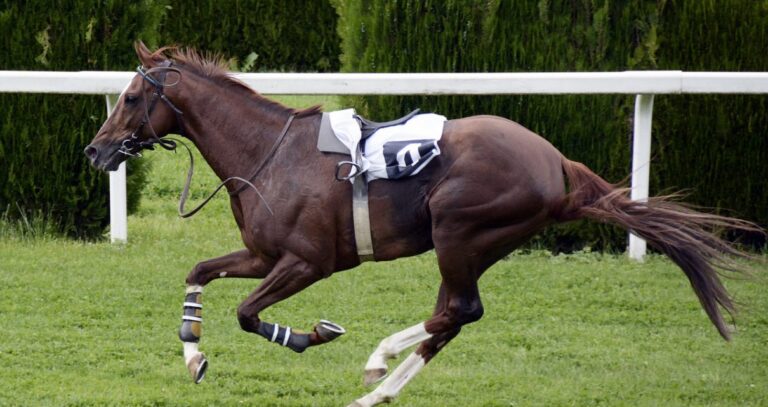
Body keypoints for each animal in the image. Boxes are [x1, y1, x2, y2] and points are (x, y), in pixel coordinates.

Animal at [85, 42, 760, 407]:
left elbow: (249, 314)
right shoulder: (262, 254)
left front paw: (312, 334)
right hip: (467, 243)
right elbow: (199, 272)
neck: (267, 154)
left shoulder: (307, 262)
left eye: (130, 99)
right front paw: (193, 357)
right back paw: (378, 387)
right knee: (452, 317)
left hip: (459, 231)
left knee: (457, 310)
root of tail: (556, 163)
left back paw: (376, 364)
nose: (95, 151)